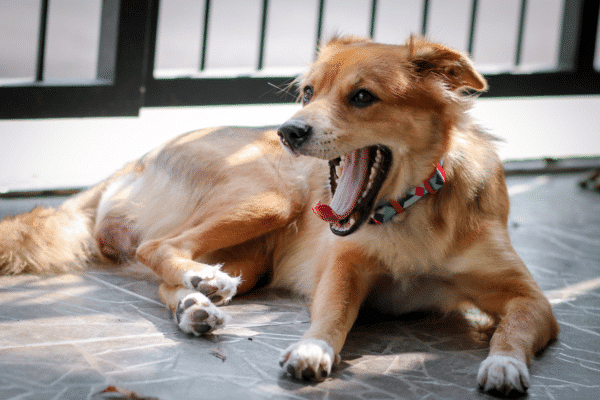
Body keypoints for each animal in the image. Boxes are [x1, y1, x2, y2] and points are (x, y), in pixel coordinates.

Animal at [0, 36, 558, 396]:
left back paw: (194, 304)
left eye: (363, 97)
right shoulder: (343, 269)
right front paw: (312, 351)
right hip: (273, 198)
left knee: (164, 277)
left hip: (250, 259)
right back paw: (200, 283)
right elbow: (332, 315)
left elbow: (513, 327)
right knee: (156, 247)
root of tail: (136, 158)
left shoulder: (533, 300)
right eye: (308, 92)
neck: (409, 212)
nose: (289, 131)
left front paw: (505, 365)